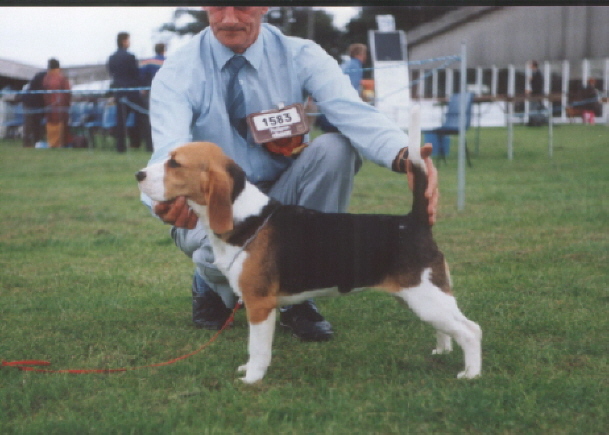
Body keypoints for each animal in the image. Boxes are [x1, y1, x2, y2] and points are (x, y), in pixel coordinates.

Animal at [137, 110, 480, 384]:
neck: (245, 216)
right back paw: (441, 350)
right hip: (420, 298)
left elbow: (257, 347)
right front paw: (248, 370)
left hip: (426, 296)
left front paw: (252, 378)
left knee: (471, 330)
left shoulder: (259, 304)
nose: (139, 174)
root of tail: (414, 220)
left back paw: (471, 374)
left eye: (175, 163)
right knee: (448, 328)